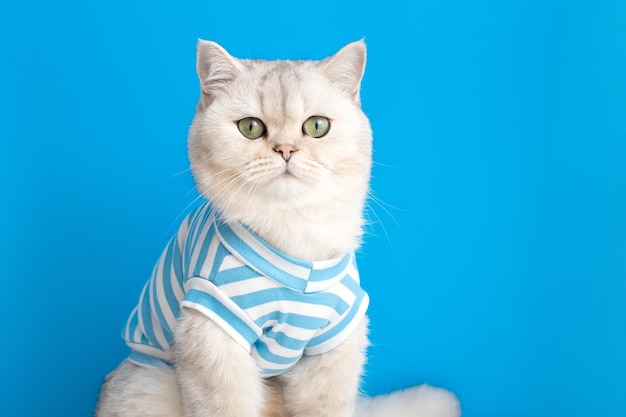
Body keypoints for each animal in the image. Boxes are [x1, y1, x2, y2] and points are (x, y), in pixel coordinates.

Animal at [96, 39, 458, 416]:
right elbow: (226, 407)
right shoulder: (214, 337)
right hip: (151, 383)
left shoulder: (335, 347)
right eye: (251, 128)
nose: (286, 150)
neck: (294, 229)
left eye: (317, 126)